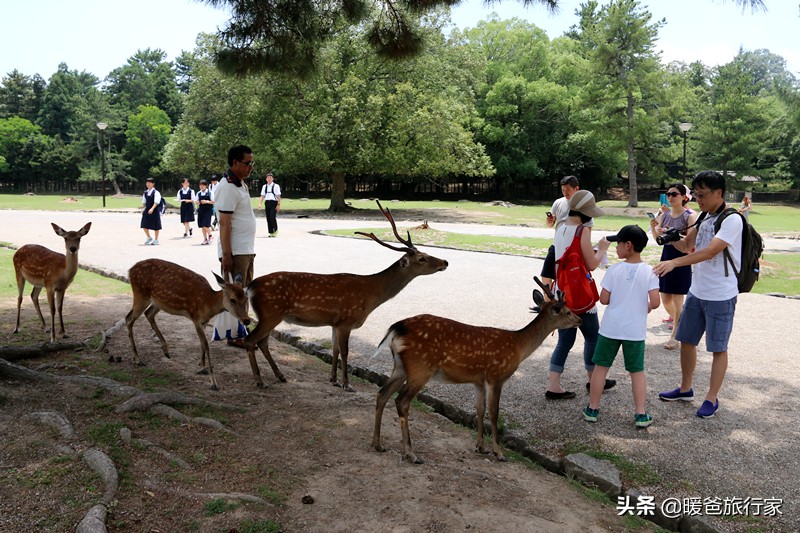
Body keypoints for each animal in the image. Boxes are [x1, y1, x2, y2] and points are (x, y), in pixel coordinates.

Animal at [124, 258, 251, 390]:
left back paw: (166, 350)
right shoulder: (196, 318)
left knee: (148, 314)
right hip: (140, 295)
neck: (207, 304)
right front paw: (214, 382)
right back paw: (138, 359)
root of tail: (130, 270)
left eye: (246, 298)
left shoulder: (203, 321)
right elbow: (206, 345)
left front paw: (202, 367)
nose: (247, 320)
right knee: (129, 318)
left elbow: (201, 344)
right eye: (232, 299)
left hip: (158, 302)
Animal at [242, 200, 449, 391]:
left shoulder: (335, 323)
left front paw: (333, 379)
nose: (445, 262)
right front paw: (346, 384)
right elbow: (345, 352)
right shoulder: (346, 321)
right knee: (250, 340)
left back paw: (280, 376)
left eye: (425, 253)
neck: (371, 296)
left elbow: (334, 350)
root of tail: (250, 287)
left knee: (262, 342)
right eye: (421, 258)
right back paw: (260, 380)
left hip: (271, 315)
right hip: (270, 313)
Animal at [371, 278, 582, 464]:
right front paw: (498, 452)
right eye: (567, 311)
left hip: (400, 367)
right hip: (420, 368)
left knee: (382, 393)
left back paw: (377, 444)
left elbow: (479, 410)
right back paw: (411, 454)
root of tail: (396, 328)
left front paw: (480, 447)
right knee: (401, 400)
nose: (580, 320)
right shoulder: (496, 376)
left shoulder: (478, 380)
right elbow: (494, 412)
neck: (518, 347)